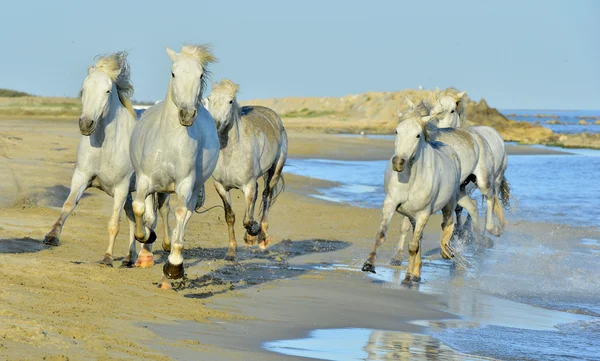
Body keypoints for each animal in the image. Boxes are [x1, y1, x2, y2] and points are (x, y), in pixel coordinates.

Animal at [43, 51, 166, 264]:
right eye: (83, 88)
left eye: (108, 91)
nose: (86, 124)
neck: (104, 146)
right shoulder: (82, 177)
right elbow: (68, 205)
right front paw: (52, 236)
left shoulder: (121, 188)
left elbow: (114, 223)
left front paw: (107, 258)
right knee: (134, 218)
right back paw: (129, 258)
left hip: (151, 190)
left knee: (152, 218)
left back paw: (146, 255)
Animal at [129, 43, 220, 288]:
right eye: (173, 73)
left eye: (200, 75)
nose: (187, 114)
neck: (170, 139)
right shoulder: (145, 181)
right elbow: (139, 208)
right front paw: (145, 236)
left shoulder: (185, 184)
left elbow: (180, 215)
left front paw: (174, 267)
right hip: (158, 188)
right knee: (155, 212)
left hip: (190, 189)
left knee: (182, 215)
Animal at [206, 79, 288, 260]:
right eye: (209, 98)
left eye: (230, 101)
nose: (214, 125)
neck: (230, 154)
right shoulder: (221, 186)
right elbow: (230, 217)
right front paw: (231, 252)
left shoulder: (248, 186)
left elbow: (247, 220)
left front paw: (253, 233)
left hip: (274, 172)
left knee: (266, 196)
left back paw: (262, 236)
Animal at [360, 100, 464, 282]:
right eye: (396, 131)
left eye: (417, 135)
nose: (398, 162)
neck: (411, 180)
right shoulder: (391, 203)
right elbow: (382, 234)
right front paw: (369, 264)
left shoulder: (423, 213)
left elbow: (413, 246)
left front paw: (409, 277)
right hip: (412, 216)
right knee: (419, 236)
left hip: (449, 204)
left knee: (446, 224)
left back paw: (444, 254)